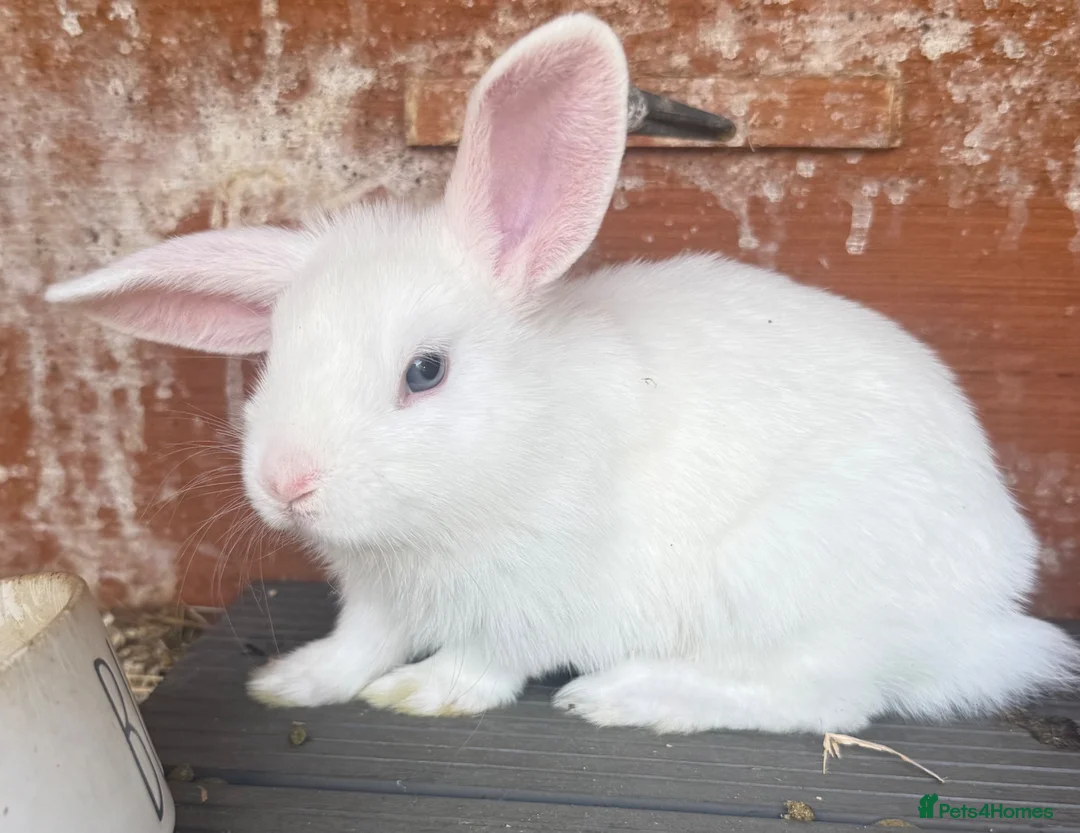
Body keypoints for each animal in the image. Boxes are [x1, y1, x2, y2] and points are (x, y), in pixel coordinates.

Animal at [44, 13, 1078, 734]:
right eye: (276, 356)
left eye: (425, 371)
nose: (288, 484)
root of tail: (986, 617)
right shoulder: (378, 596)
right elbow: (356, 643)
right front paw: (294, 681)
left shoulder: (531, 601)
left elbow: (485, 661)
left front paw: (422, 692)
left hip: (779, 579)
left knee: (825, 699)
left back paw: (628, 695)